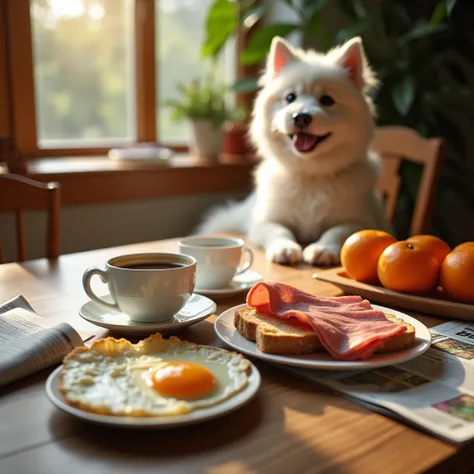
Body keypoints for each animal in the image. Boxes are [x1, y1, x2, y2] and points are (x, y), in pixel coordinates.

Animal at [198, 36, 390, 266]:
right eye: (290, 98)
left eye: (327, 100)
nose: (301, 117)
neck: (310, 174)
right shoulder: (265, 220)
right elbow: (279, 230)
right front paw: (285, 248)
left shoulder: (358, 220)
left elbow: (338, 232)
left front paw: (322, 249)